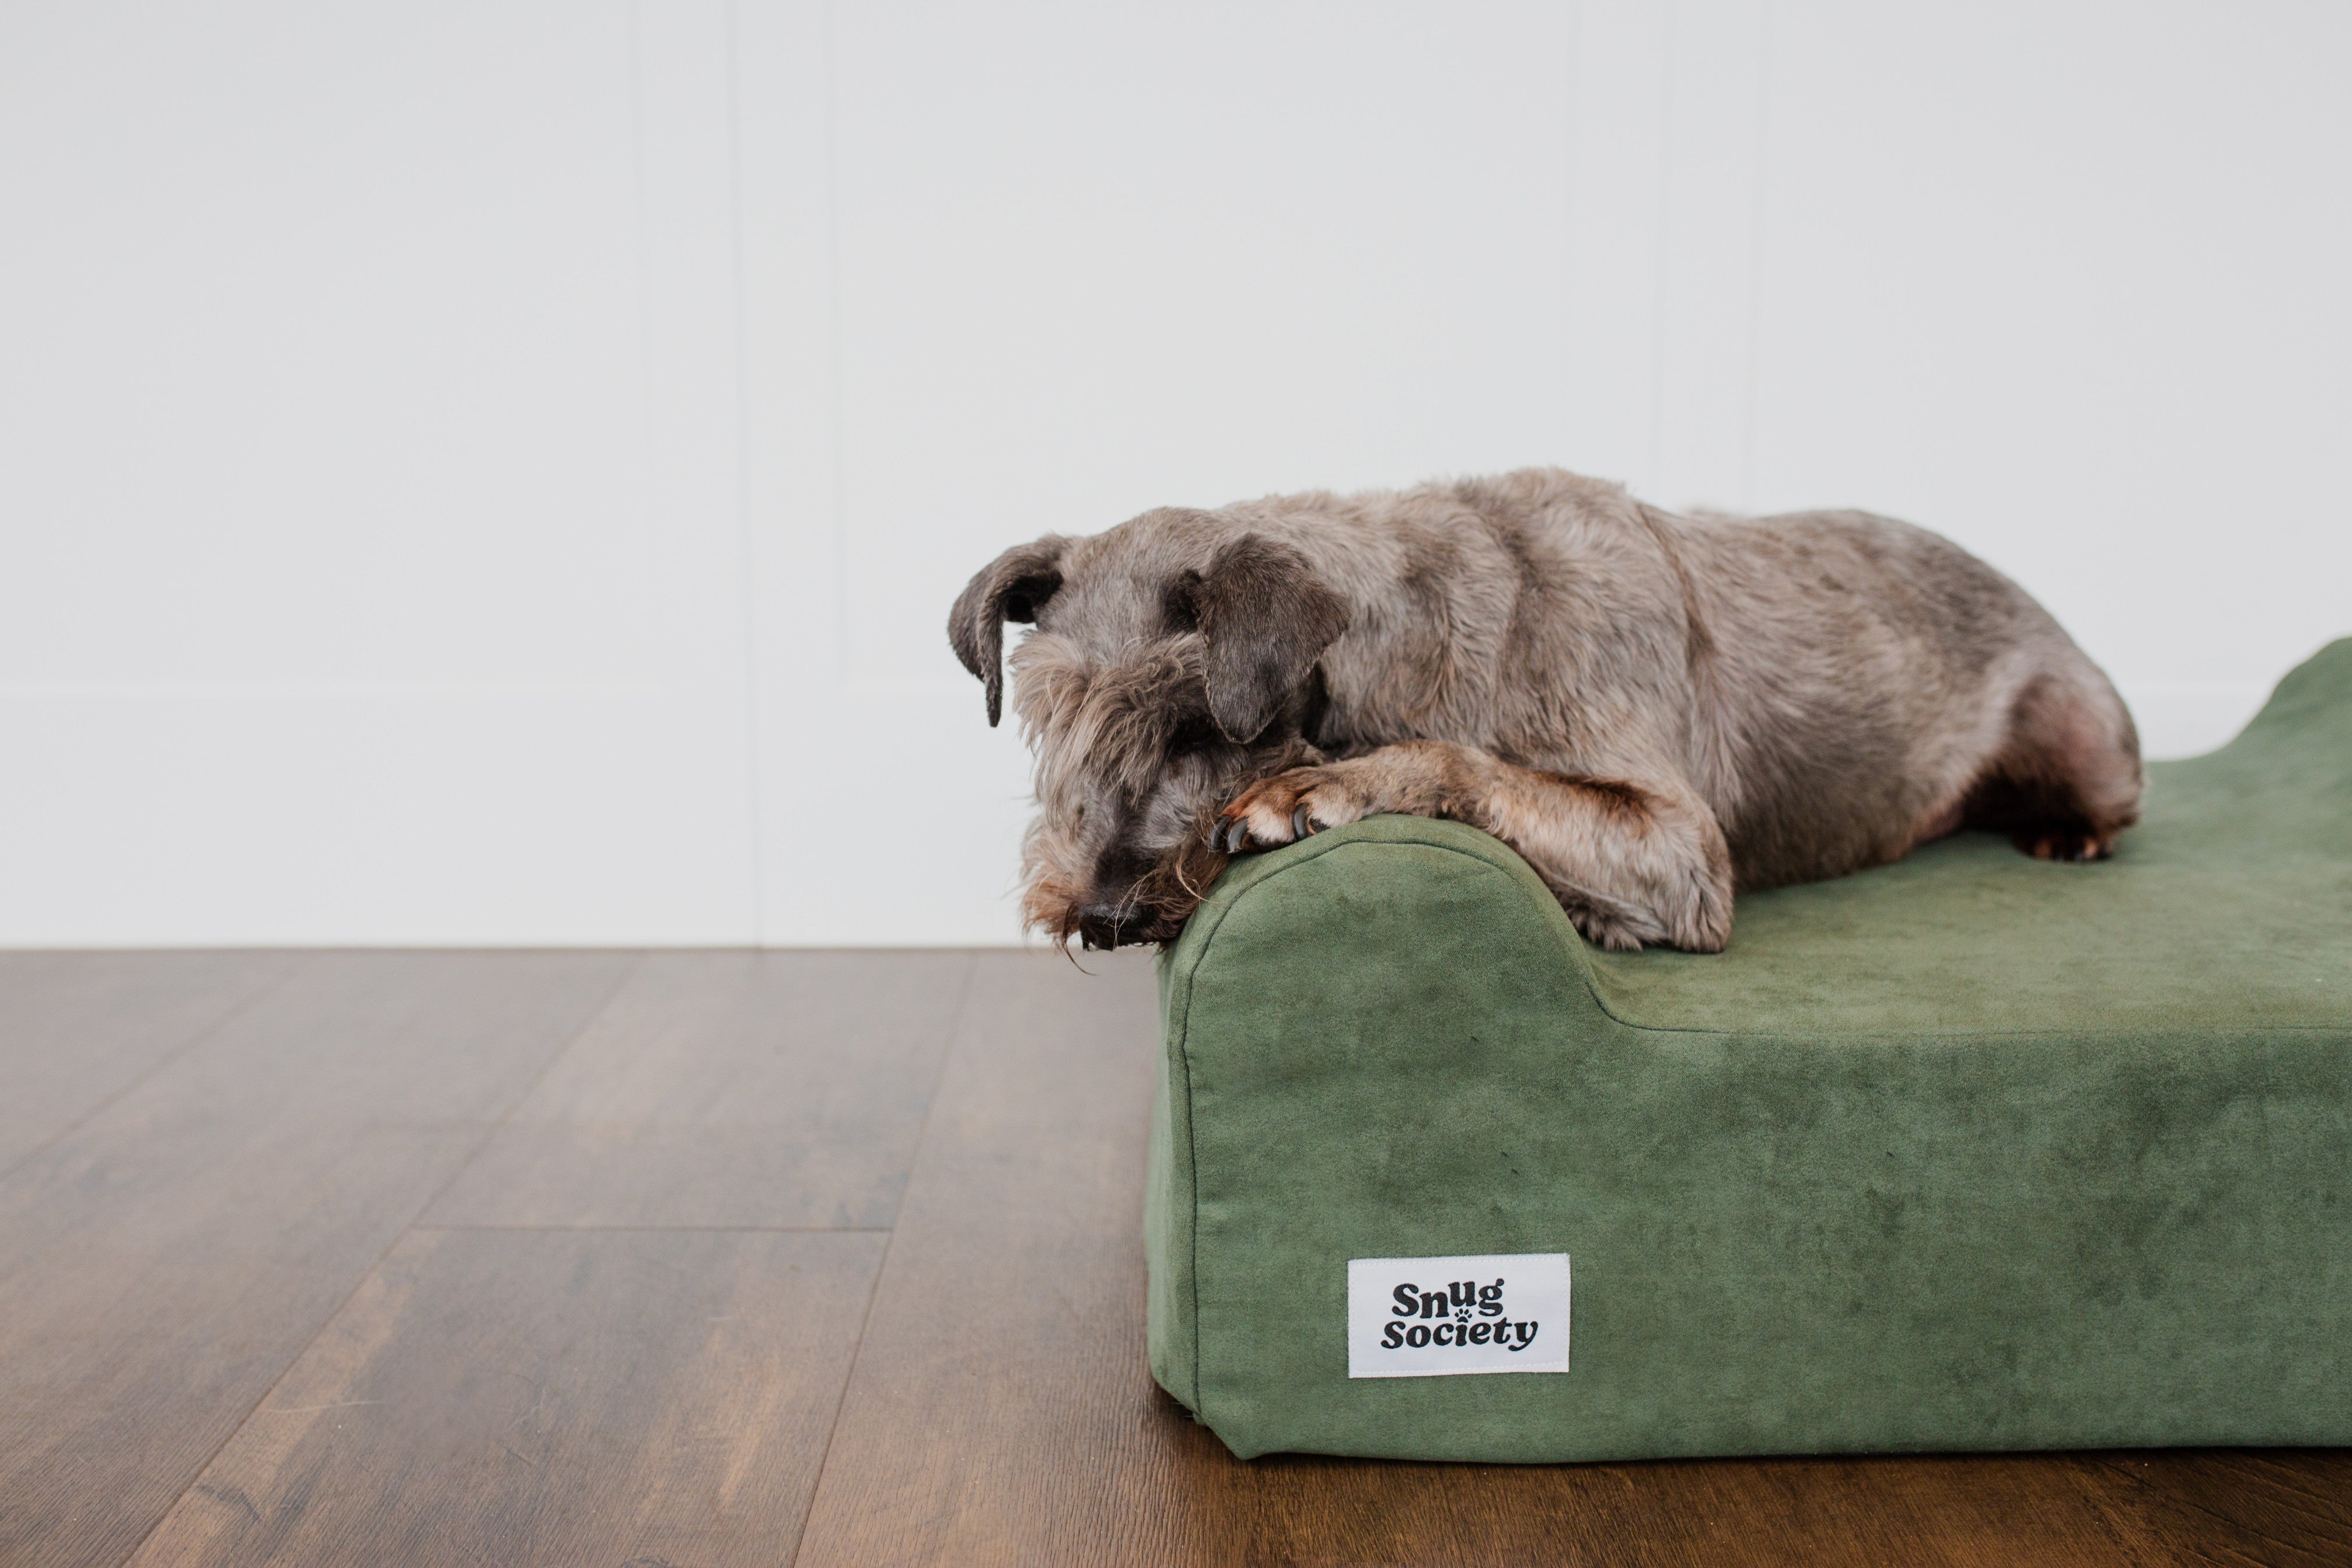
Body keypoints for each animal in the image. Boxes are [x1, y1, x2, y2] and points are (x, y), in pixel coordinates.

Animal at [945, 465, 2145, 950]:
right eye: (1050, 718)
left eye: (1195, 726)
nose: (1099, 916)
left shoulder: (1679, 848)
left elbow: (1463, 762)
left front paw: (1319, 787)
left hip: (2089, 737)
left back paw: (2068, 829)